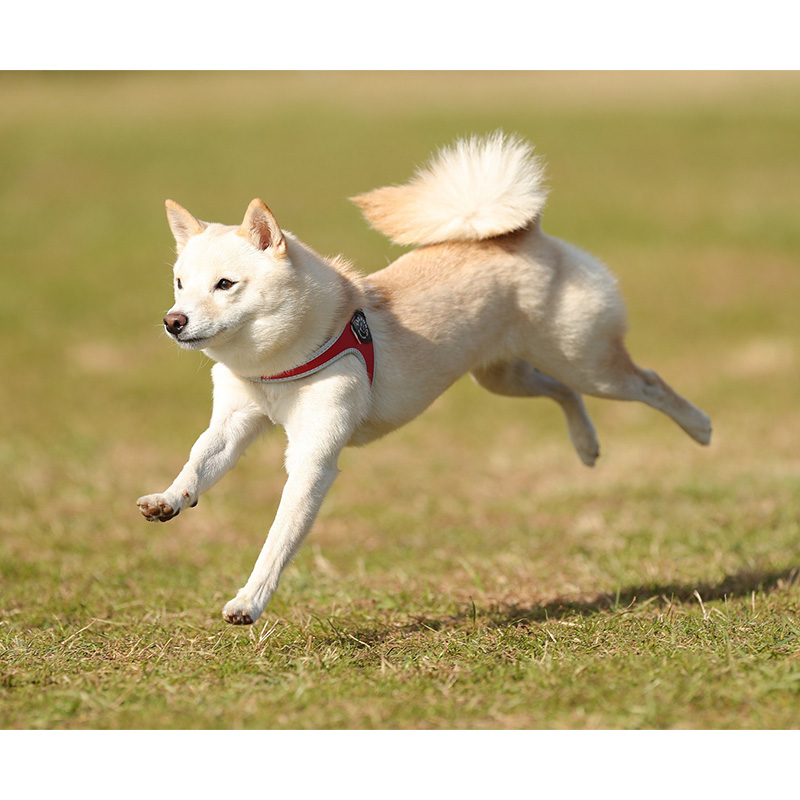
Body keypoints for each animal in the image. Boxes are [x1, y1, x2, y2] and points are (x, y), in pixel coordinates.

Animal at [138, 133, 712, 624]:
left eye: (225, 284)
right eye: (180, 283)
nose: (172, 321)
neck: (277, 364)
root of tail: (525, 234)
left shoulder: (312, 458)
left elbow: (277, 540)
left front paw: (249, 601)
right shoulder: (232, 425)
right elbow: (196, 465)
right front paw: (169, 500)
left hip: (586, 360)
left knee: (648, 382)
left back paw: (700, 427)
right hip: (504, 377)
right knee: (563, 392)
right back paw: (587, 445)